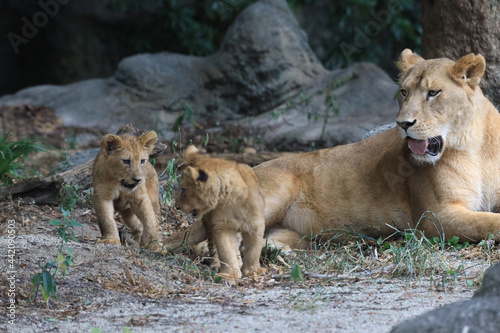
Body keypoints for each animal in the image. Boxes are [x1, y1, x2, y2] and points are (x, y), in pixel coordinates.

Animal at [167, 48, 500, 248]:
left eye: (433, 93)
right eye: (403, 92)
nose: (403, 124)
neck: (473, 145)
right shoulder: (436, 216)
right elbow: (487, 223)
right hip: (272, 192)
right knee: (206, 241)